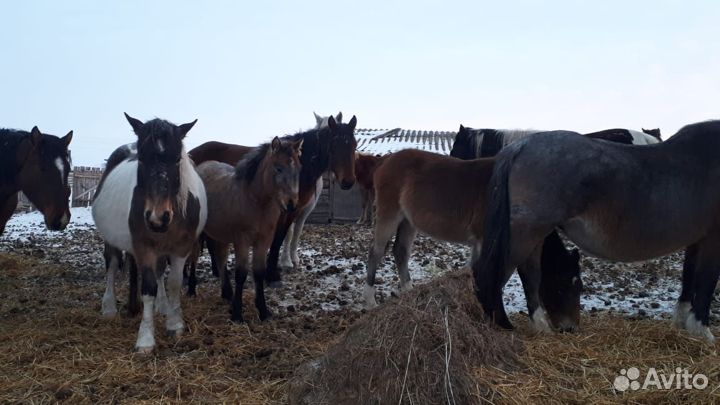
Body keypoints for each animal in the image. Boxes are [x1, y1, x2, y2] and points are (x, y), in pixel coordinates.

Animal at [92, 113, 206, 353]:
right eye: (142, 160)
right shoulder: (144, 248)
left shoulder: (181, 248)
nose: (157, 218)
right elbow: (148, 288)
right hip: (111, 241)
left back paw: (162, 306)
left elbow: (173, 283)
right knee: (112, 265)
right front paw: (145, 339)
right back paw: (109, 308)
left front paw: (174, 324)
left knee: (159, 270)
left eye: (177, 160)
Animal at [197, 137, 303, 322]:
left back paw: (226, 293)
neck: (256, 201)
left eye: (298, 168)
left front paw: (263, 311)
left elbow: (259, 272)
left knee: (220, 258)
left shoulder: (264, 240)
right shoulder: (242, 241)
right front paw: (238, 314)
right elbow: (241, 274)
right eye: (278, 168)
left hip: (220, 235)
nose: (291, 205)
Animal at [365, 148, 583, 330]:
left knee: (400, 252)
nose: (570, 328)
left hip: (408, 221)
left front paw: (540, 325)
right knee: (376, 252)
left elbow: (531, 276)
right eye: (562, 285)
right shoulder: (488, 242)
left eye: (579, 286)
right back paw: (370, 301)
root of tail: (385, 160)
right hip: (389, 214)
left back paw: (409, 292)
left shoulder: (529, 245)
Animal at [475, 120, 720, 341]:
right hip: (526, 233)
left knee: (530, 273)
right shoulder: (712, 239)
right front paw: (702, 330)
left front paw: (683, 322)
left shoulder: (697, 238)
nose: (570, 327)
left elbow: (689, 275)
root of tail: (520, 146)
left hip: (535, 234)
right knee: (495, 275)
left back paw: (539, 326)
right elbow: (707, 279)